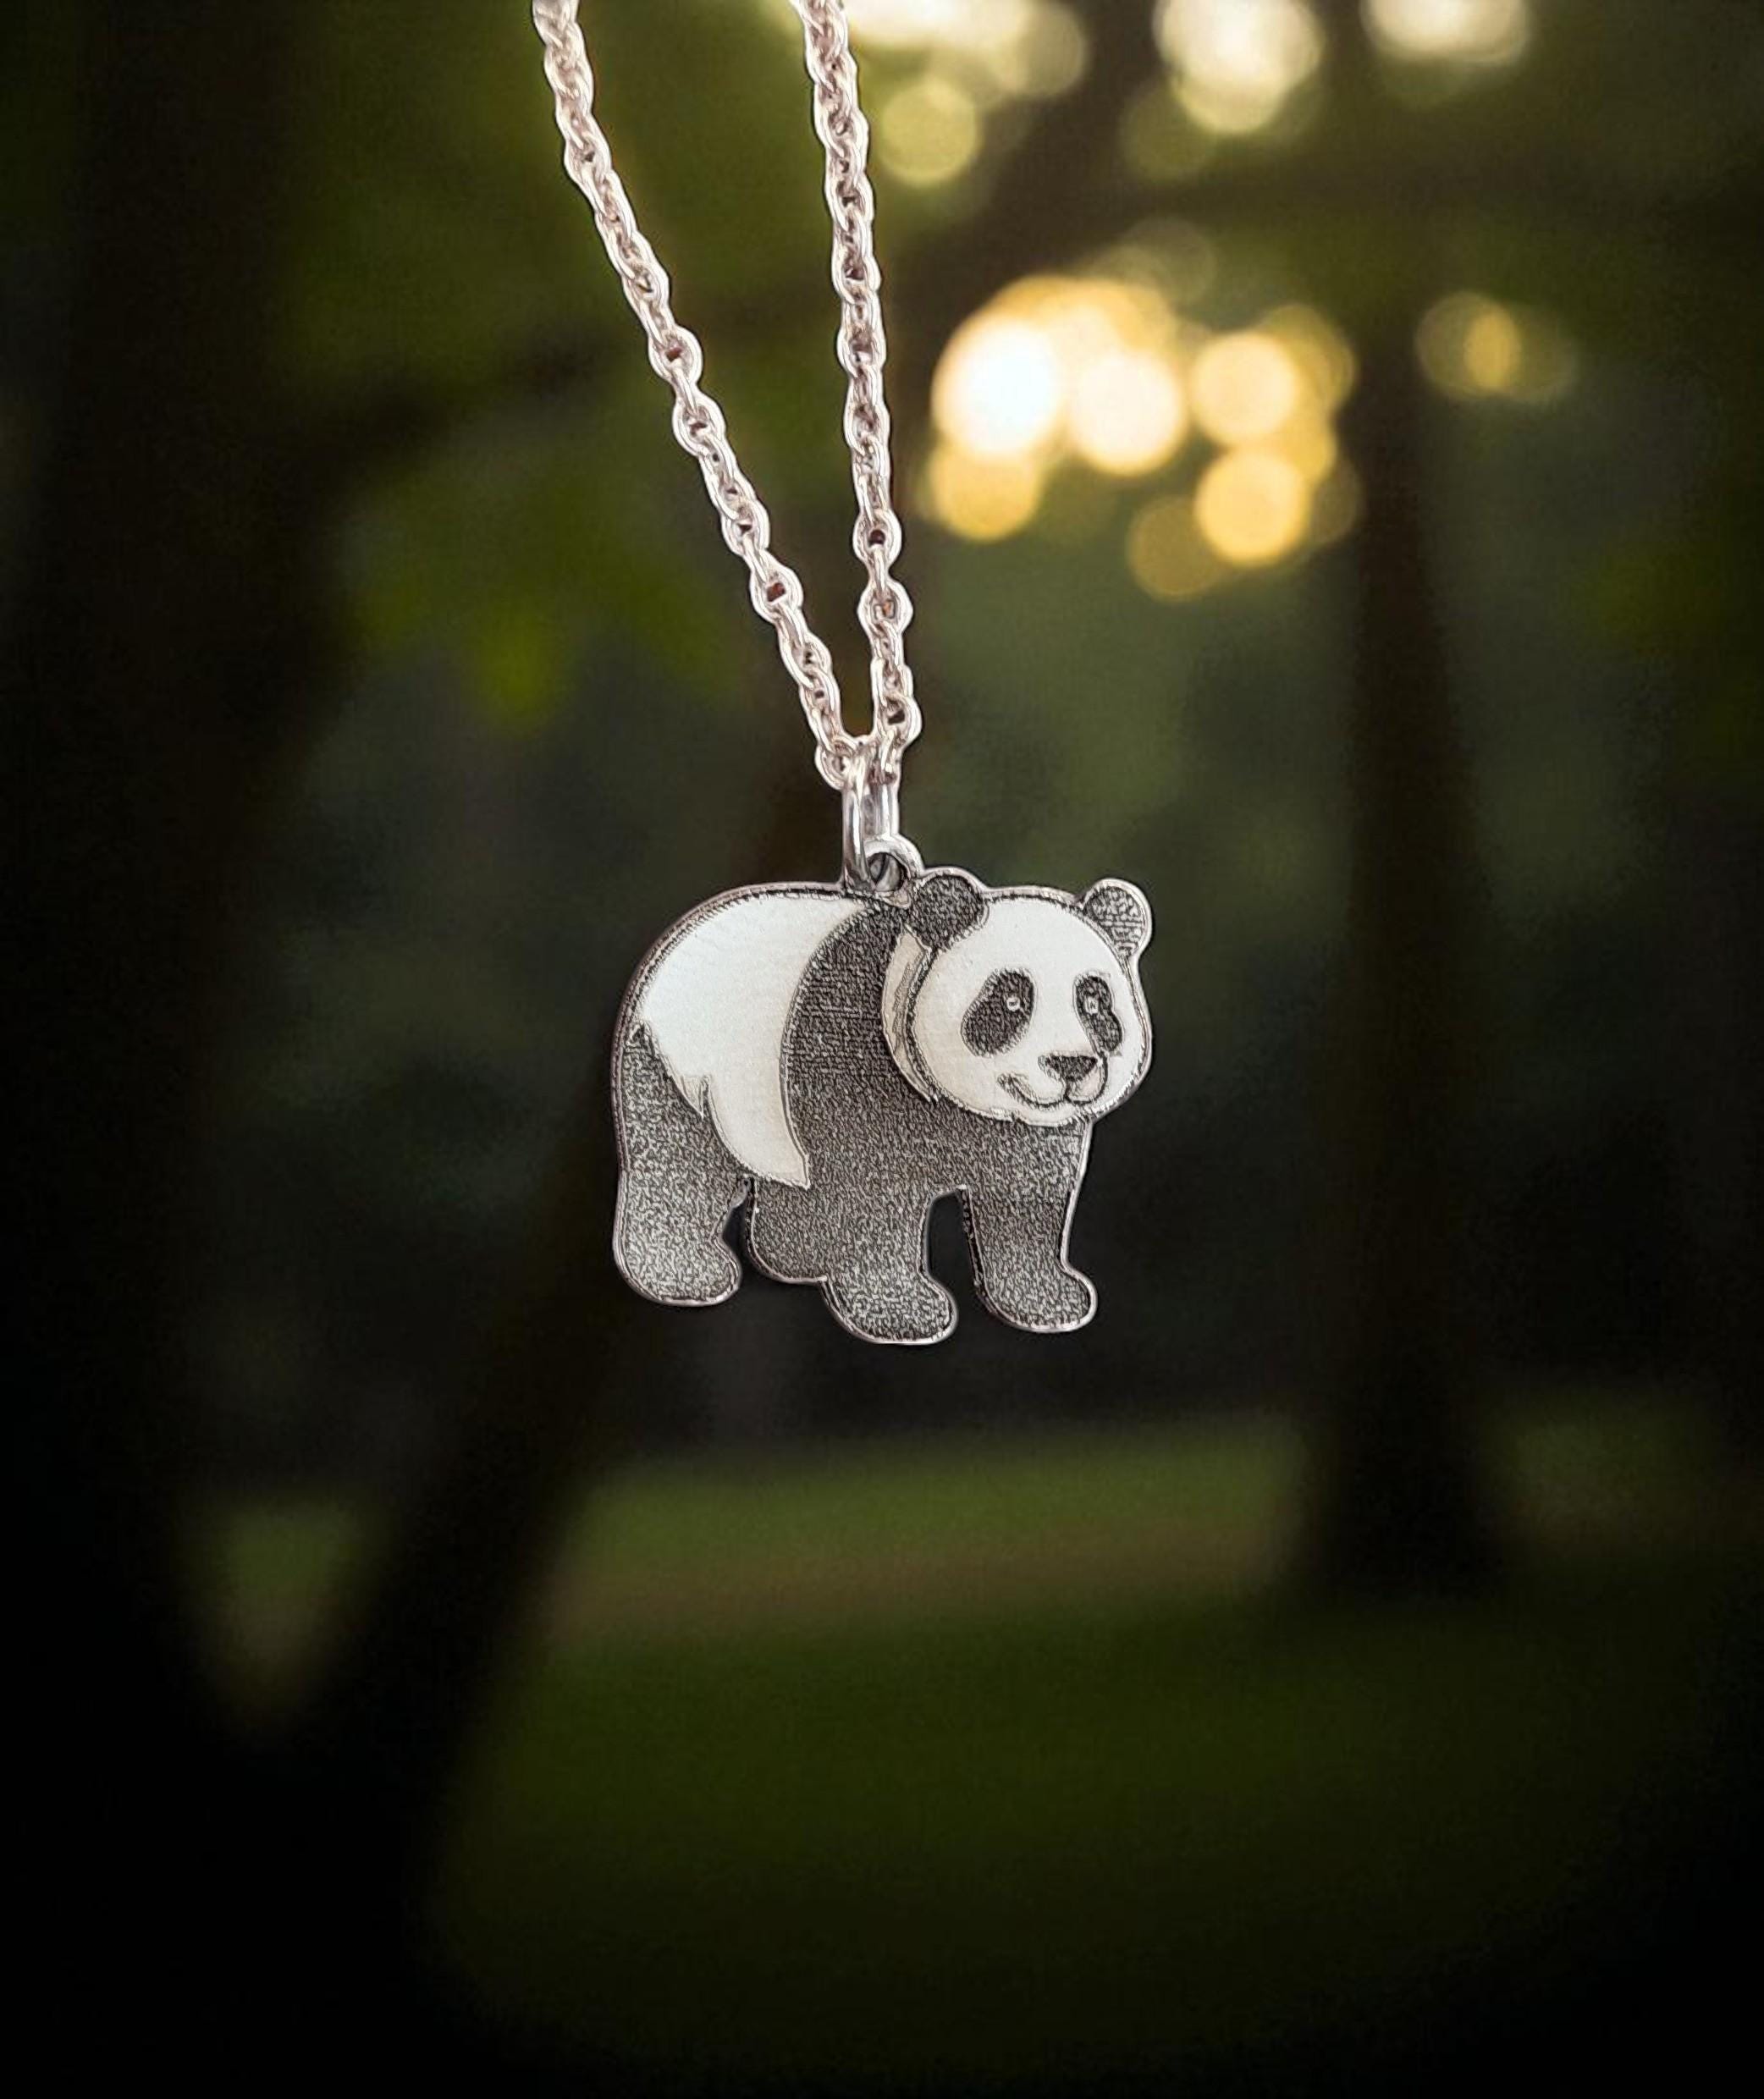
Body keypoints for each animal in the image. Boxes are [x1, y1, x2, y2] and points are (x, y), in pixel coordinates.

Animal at [612, 866, 1153, 1344]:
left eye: (1094, 1001)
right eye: (1012, 1001)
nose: (1071, 1065)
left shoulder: (1027, 1130)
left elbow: (1022, 1199)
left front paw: (1049, 1299)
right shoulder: (852, 1061)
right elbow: (874, 1199)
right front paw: (903, 1311)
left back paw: (796, 1257)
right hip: (680, 1063)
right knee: (681, 1167)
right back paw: (686, 1274)